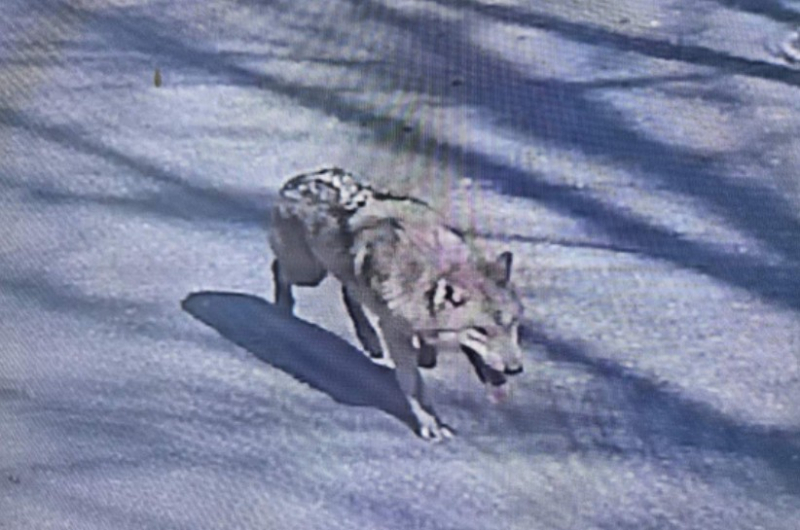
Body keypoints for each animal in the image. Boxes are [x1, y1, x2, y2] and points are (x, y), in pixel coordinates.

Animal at [268, 167, 524, 441]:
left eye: (512, 325)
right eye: (481, 331)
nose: (515, 369)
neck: (434, 269)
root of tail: (298, 179)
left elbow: (426, 353)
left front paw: (426, 354)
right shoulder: (394, 332)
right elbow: (413, 384)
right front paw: (430, 423)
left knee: (349, 292)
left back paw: (369, 339)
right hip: (308, 273)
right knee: (279, 269)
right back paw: (283, 309)